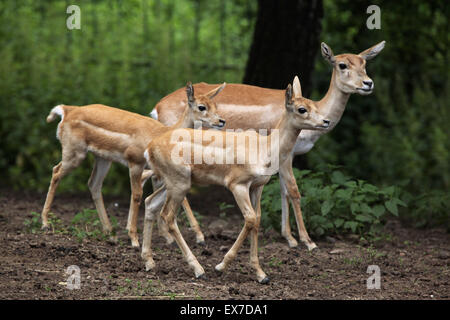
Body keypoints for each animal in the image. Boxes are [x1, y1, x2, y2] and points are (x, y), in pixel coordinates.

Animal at [41, 81, 225, 246]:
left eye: (215, 104)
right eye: (201, 107)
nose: (221, 121)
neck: (160, 133)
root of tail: (66, 110)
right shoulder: (135, 162)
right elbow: (137, 194)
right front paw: (135, 240)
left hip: (102, 159)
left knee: (93, 184)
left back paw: (111, 234)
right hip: (75, 152)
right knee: (56, 171)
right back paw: (45, 223)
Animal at [141, 75, 330, 282]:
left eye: (313, 103)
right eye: (301, 109)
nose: (326, 121)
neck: (264, 148)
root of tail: (149, 147)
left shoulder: (257, 187)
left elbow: (257, 220)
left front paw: (261, 274)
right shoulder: (237, 185)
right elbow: (249, 218)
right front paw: (221, 266)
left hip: (172, 183)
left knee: (150, 202)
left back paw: (149, 262)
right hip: (179, 184)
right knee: (168, 216)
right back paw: (199, 269)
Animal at [149, 40, 384, 250]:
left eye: (364, 63)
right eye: (342, 64)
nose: (368, 83)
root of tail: (157, 107)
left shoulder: (288, 157)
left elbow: (283, 190)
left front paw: (289, 238)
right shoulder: (286, 157)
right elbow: (294, 190)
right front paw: (307, 241)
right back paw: (198, 235)